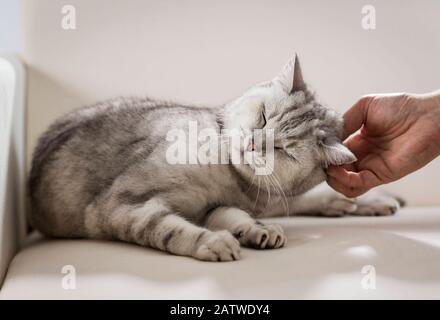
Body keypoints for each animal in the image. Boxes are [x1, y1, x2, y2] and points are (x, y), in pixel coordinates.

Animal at [29, 55, 404, 262]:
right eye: (264, 117)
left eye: (283, 148)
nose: (253, 144)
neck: (229, 177)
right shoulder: (120, 205)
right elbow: (168, 228)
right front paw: (213, 241)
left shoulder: (216, 206)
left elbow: (232, 215)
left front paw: (254, 231)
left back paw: (367, 202)